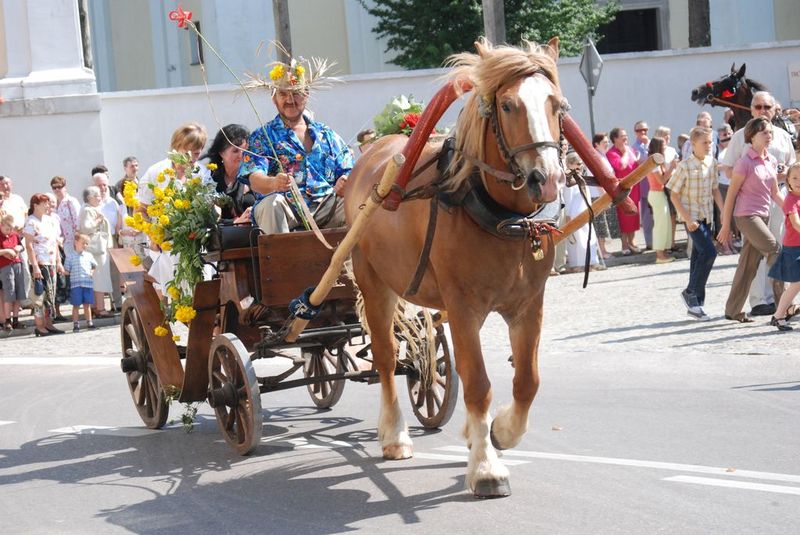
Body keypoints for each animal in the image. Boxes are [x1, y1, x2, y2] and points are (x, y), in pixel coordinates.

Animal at [344, 37, 566, 498]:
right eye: (507, 106)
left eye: (556, 105)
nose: (548, 179)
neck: (505, 219)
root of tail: (371, 152)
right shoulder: (463, 307)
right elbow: (478, 383)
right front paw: (486, 467)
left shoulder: (528, 306)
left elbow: (527, 380)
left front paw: (500, 432)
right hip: (375, 284)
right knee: (387, 358)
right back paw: (394, 434)